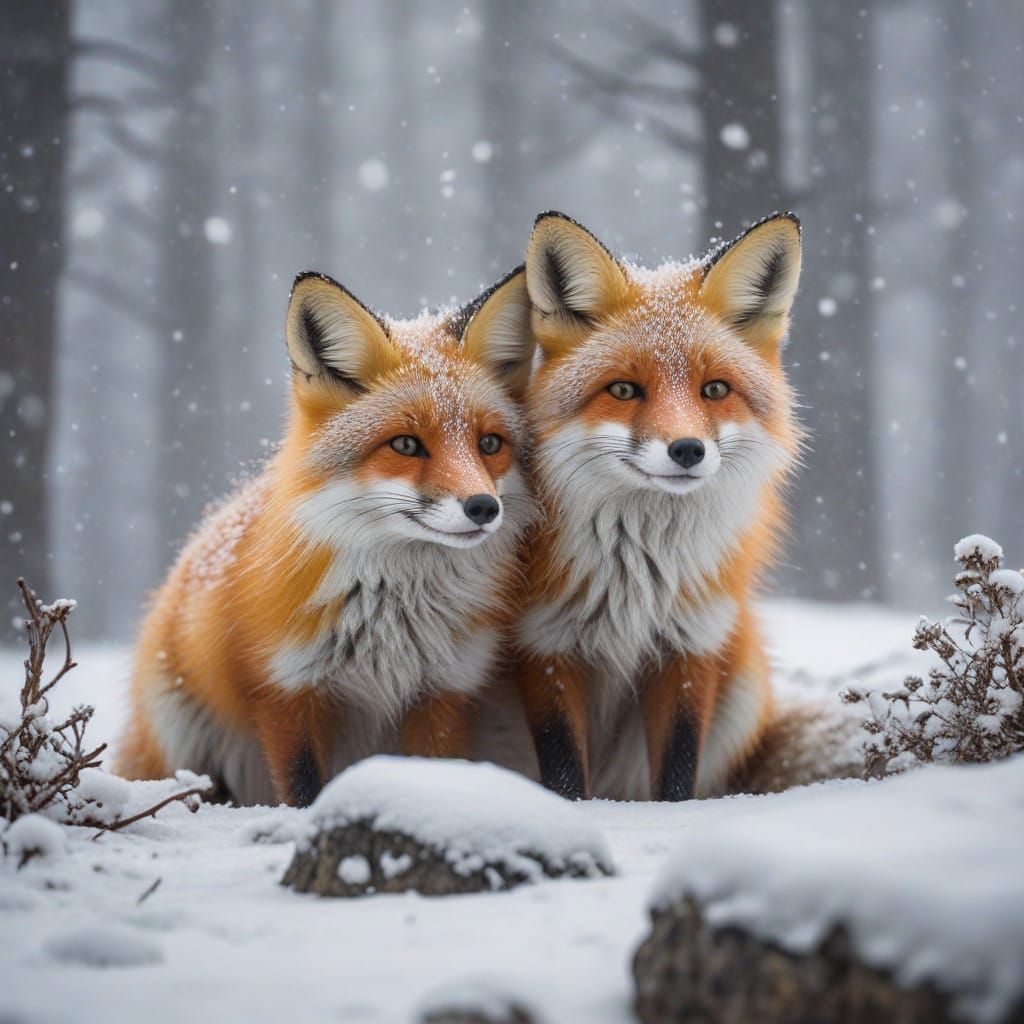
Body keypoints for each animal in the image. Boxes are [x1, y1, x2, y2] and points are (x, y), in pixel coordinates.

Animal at [116, 267, 536, 806]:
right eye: (405, 445)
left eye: (489, 444)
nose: (484, 507)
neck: (395, 615)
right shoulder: (285, 693)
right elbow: (303, 790)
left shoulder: (443, 693)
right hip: (181, 743)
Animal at [511, 210, 803, 802]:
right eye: (624, 390)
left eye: (715, 389)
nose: (687, 450)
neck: (638, 570)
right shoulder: (544, 646)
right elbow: (564, 774)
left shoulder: (690, 644)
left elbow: (677, 770)